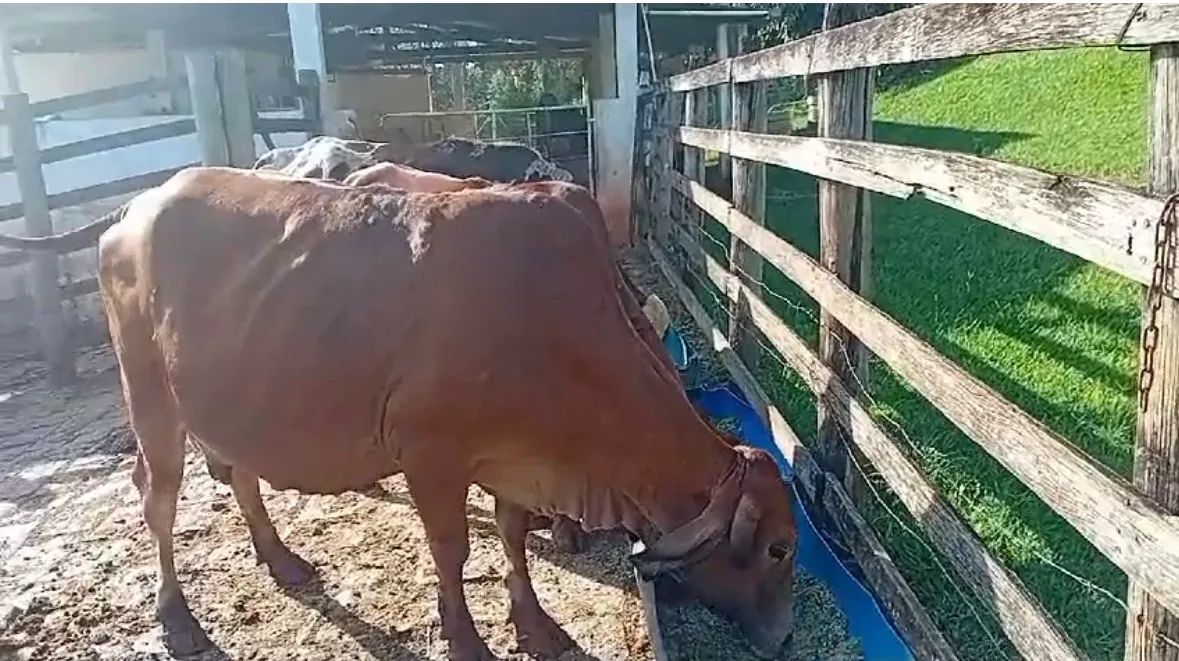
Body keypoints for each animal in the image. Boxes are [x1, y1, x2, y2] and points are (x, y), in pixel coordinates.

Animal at [91, 166, 797, 659]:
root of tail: (137, 207)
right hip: (150, 398)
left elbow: (512, 535)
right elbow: (451, 551)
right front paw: (465, 639)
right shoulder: (431, 458)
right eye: (779, 549)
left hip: (226, 405)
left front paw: (533, 624)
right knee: (158, 499)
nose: (785, 638)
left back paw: (281, 559)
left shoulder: (515, 459)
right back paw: (177, 618)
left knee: (239, 473)